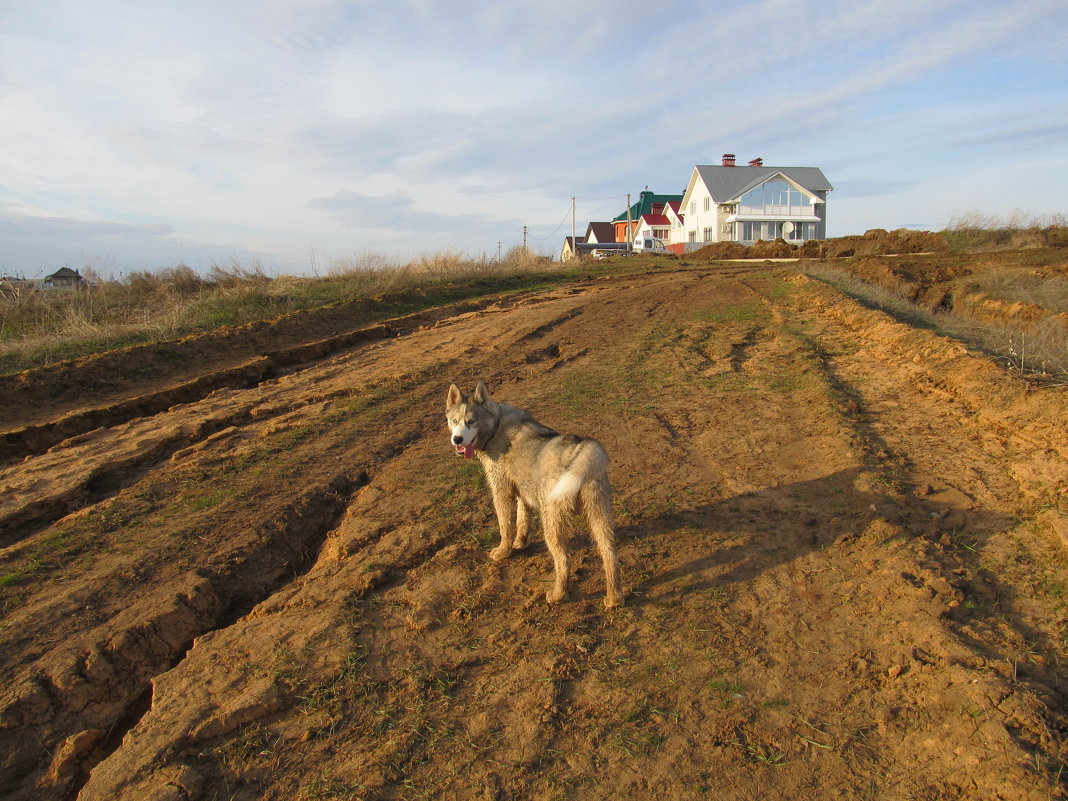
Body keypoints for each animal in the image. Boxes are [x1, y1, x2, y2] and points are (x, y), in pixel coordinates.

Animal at [444, 382, 623, 606]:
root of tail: (581, 449)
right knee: (610, 554)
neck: (495, 427)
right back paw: (614, 597)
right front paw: (520, 543)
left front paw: (504, 551)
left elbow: (505, 527)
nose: (457, 439)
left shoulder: (501, 492)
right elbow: (522, 521)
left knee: (564, 561)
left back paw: (558, 595)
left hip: (552, 524)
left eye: (471, 421)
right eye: (454, 421)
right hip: (599, 517)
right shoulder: (523, 493)